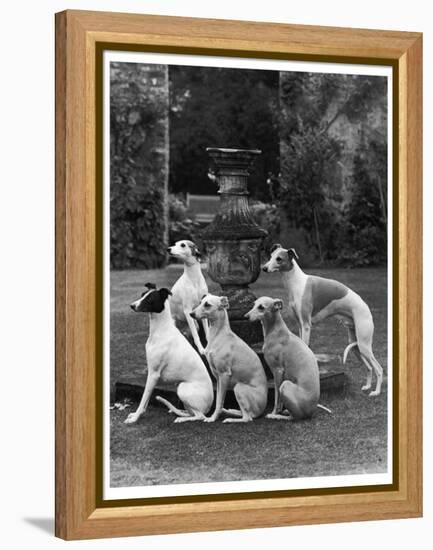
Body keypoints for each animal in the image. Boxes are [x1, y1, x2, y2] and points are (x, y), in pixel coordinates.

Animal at [124, 284, 213, 426]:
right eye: (142, 294)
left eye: (149, 299)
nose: (132, 305)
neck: (161, 330)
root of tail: (210, 406)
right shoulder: (151, 372)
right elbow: (146, 401)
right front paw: (137, 414)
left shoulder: (153, 374)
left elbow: (143, 399)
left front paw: (135, 418)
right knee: (192, 412)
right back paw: (179, 412)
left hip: (182, 388)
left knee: (200, 416)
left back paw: (182, 418)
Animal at [190, 296, 266, 424]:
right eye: (200, 302)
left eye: (207, 304)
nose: (191, 314)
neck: (219, 336)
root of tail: (262, 410)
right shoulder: (218, 378)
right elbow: (218, 401)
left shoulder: (224, 375)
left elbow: (219, 402)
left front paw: (212, 418)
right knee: (244, 413)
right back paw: (231, 411)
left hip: (239, 388)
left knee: (247, 418)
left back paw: (230, 419)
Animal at [262, 246, 384, 396]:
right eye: (271, 256)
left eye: (279, 259)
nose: (264, 268)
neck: (297, 282)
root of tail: (366, 307)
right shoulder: (300, 325)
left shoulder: (306, 325)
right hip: (356, 345)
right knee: (369, 367)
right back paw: (367, 386)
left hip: (364, 343)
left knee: (378, 368)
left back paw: (376, 392)